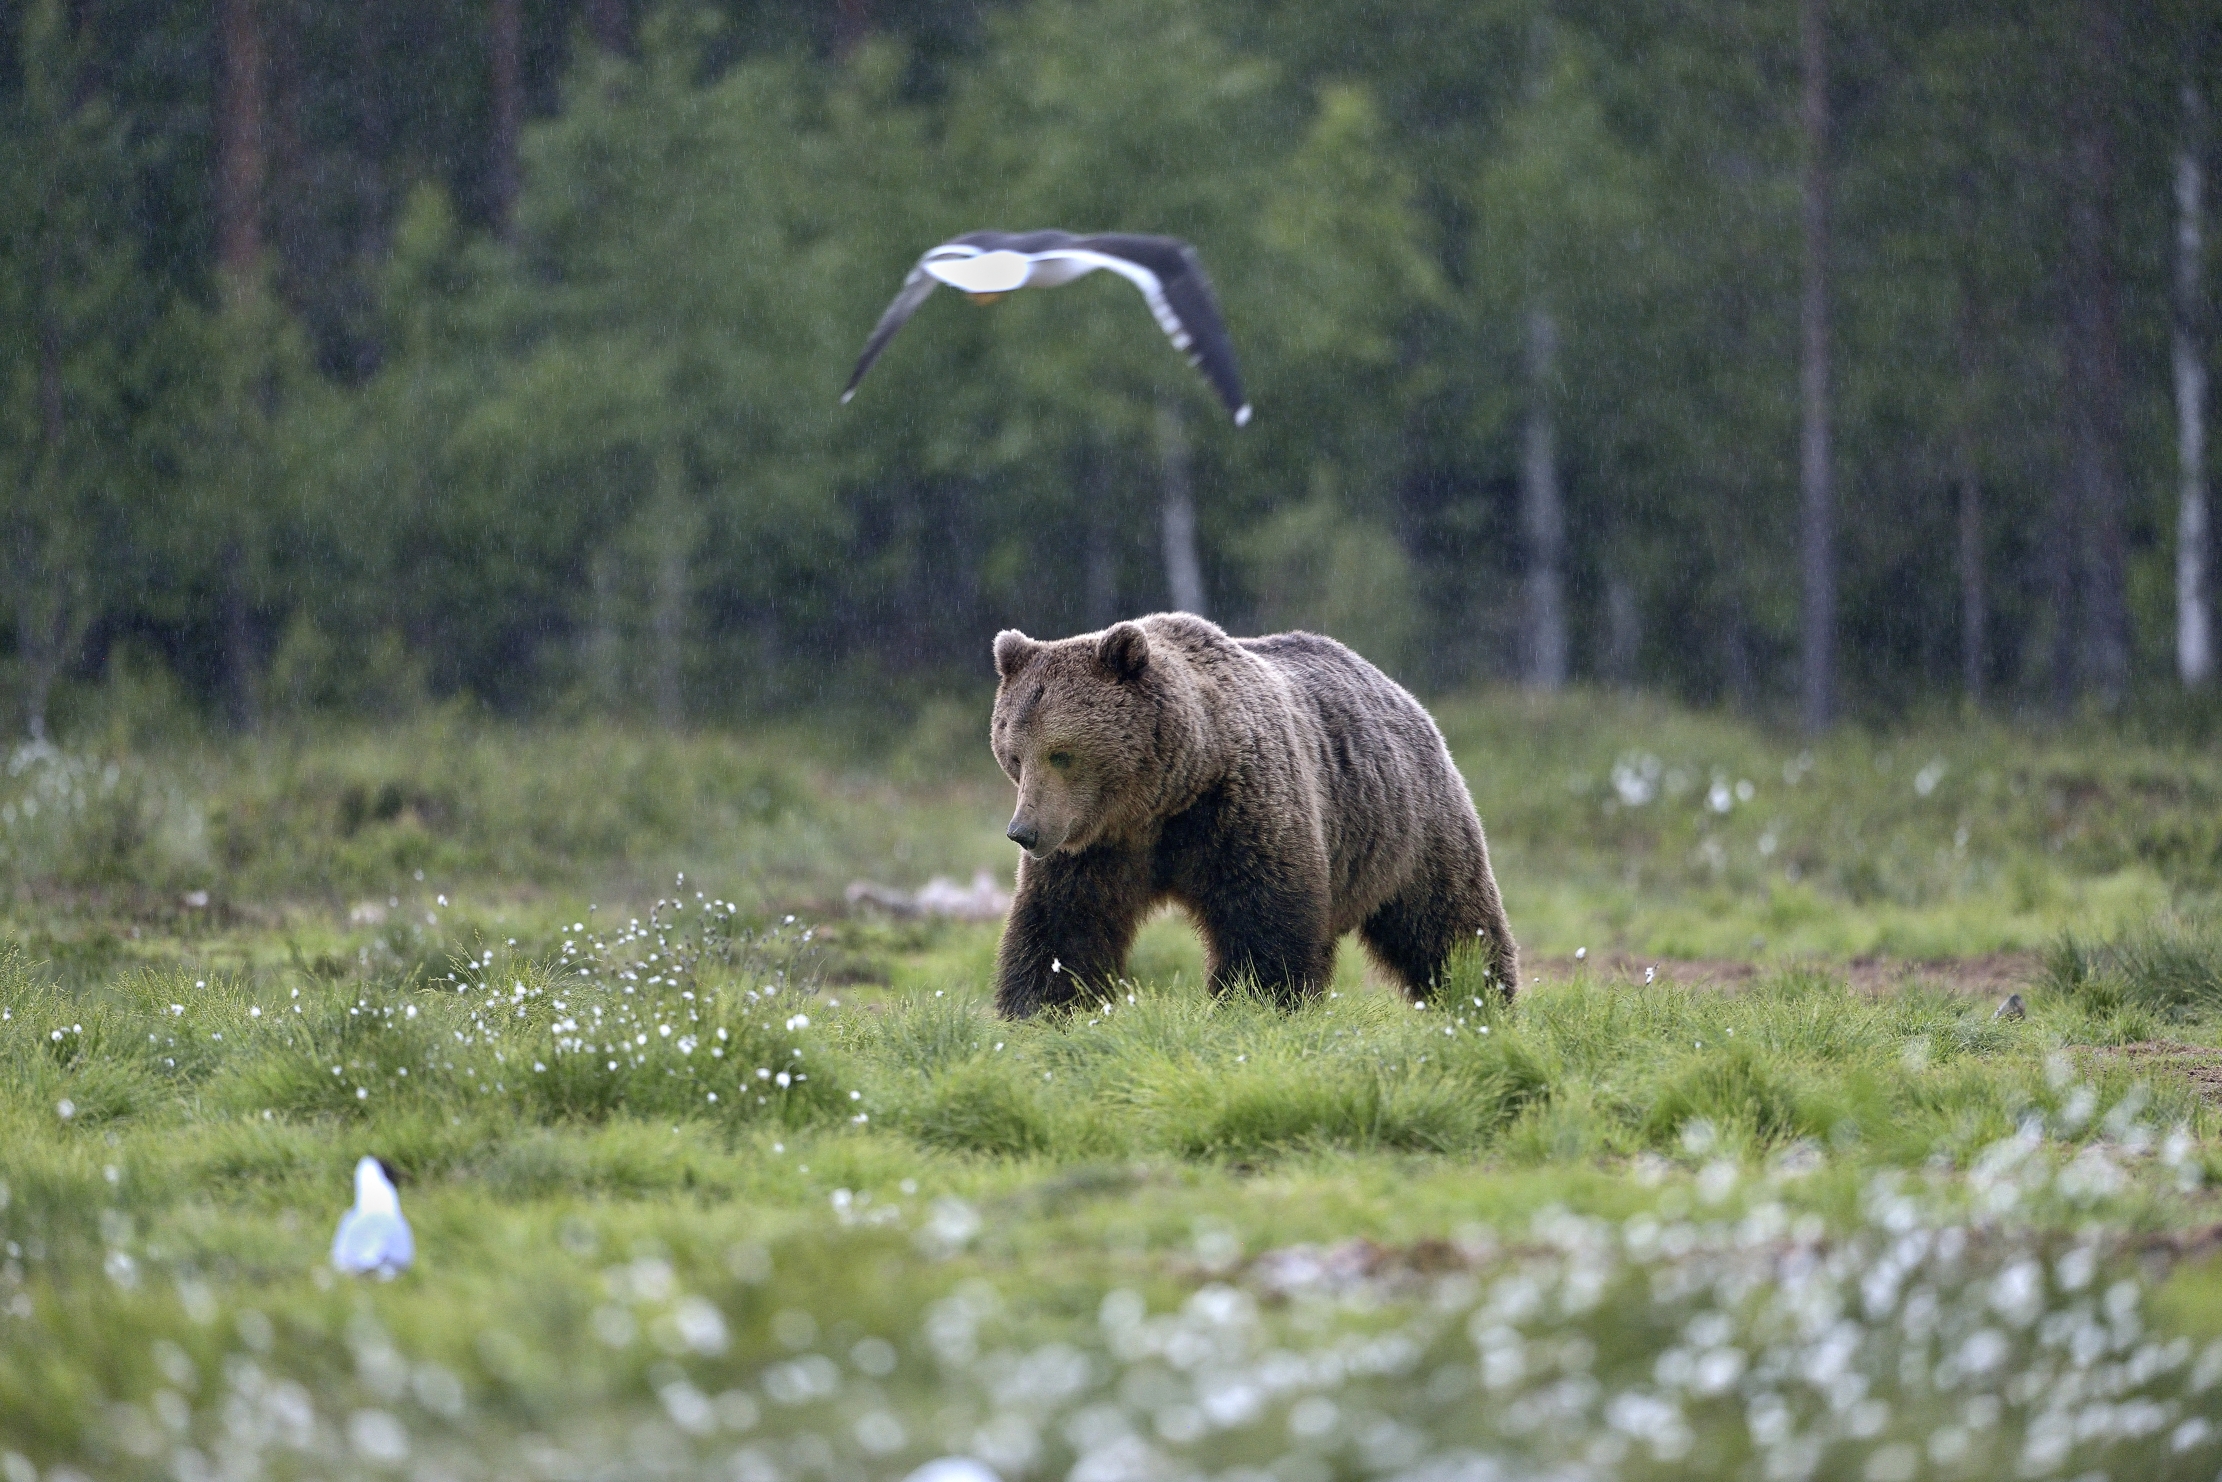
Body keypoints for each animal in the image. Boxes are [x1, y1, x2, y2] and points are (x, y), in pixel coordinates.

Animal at [988, 612, 1518, 1017]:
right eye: (1013, 754)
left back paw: (1483, 998)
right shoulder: (1097, 847)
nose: (1023, 832)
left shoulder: (1240, 808)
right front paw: (1042, 1010)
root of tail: (1398, 690)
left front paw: (1255, 1001)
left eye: (1061, 754)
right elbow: (1062, 926)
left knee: (1449, 923)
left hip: (1410, 826)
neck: (1164, 797)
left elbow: (1263, 919)